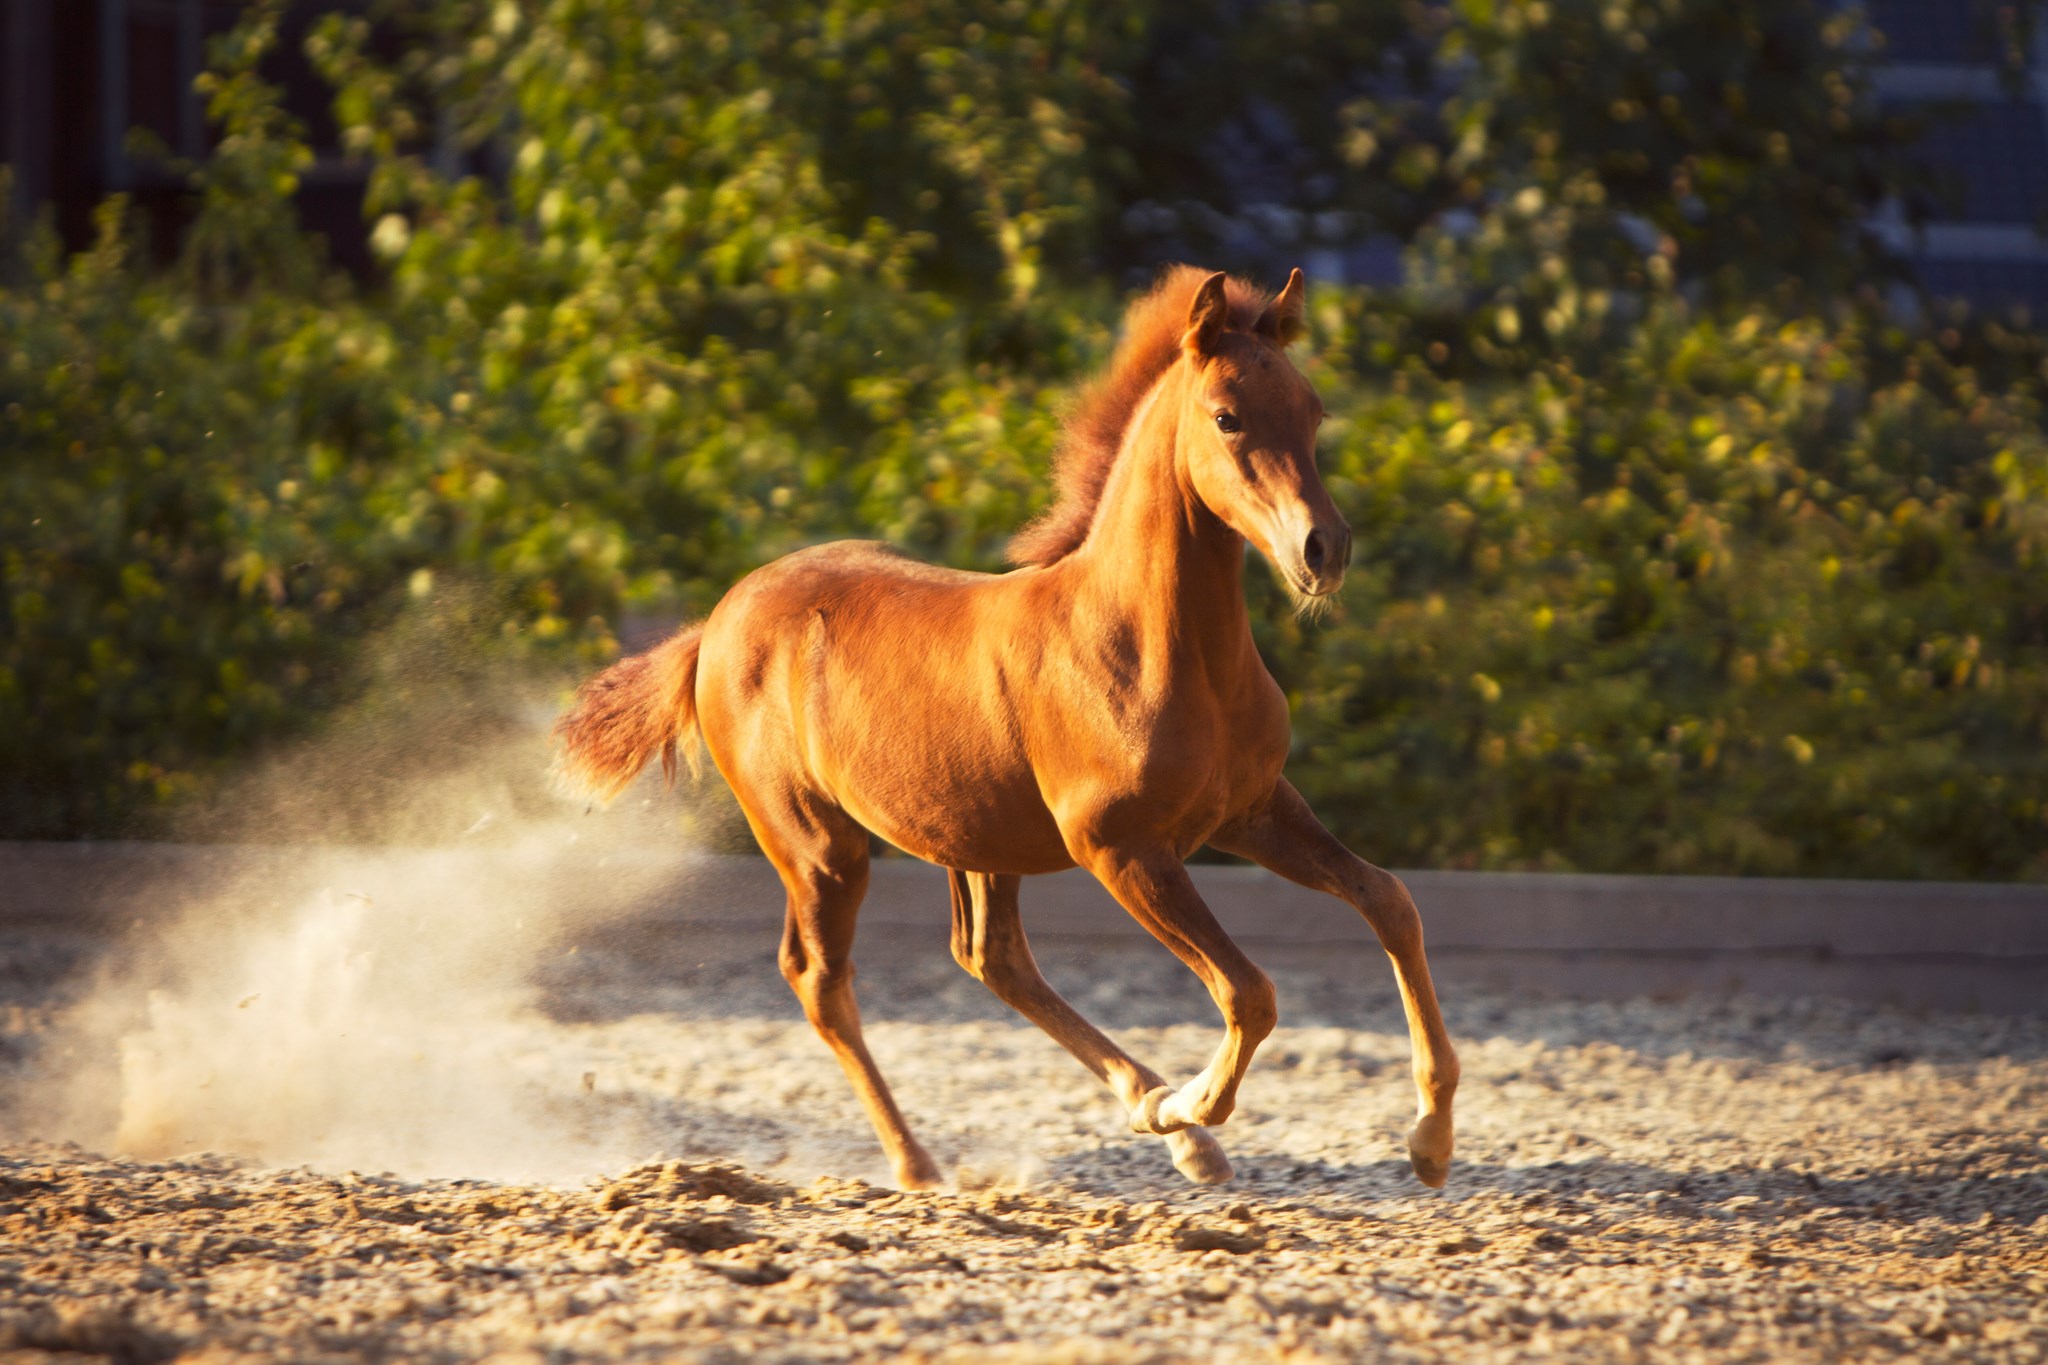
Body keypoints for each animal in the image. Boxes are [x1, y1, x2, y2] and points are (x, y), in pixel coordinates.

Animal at [554, 266, 1458, 1190]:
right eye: (1227, 416)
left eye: (1314, 410)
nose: (1324, 550)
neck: (1154, 645)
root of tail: (716, 622)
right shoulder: (1120, 847)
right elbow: (1249, 990)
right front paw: (1194, 1108)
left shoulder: (1251, 809)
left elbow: (1390, 901)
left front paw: (1429, 1140)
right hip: (817, 844)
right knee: (822, 978)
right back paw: (926, 1161)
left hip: (978, 836)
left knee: (992, 958)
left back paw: (1158, 1120)